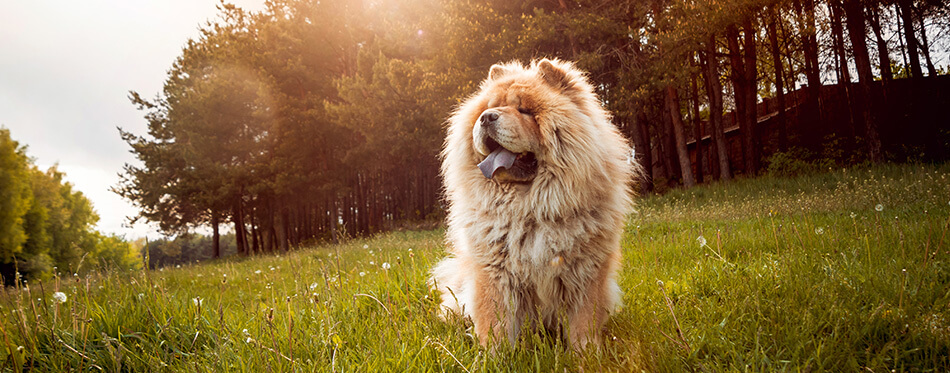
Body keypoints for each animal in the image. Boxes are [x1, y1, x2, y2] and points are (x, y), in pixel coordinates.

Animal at [434, 58, 640, 348]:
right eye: (486, 109)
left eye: (524, 110)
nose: (487, 117)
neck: (529, 207)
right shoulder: (494, 272)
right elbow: (496, 322)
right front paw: (494, 354)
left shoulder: (586, 271)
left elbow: (583, 321)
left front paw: (587, 353)